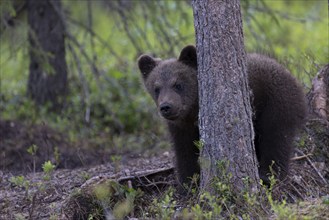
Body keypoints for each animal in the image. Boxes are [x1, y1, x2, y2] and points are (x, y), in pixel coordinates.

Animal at [137, 45, 306, 186]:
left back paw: (269, 175)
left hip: (276, 103)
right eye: (156, 88)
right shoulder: (180, 127)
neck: (192, 111)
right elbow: (184, 151)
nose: (166, 107)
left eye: (178, 84)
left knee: (276, 138)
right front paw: (188, 181)